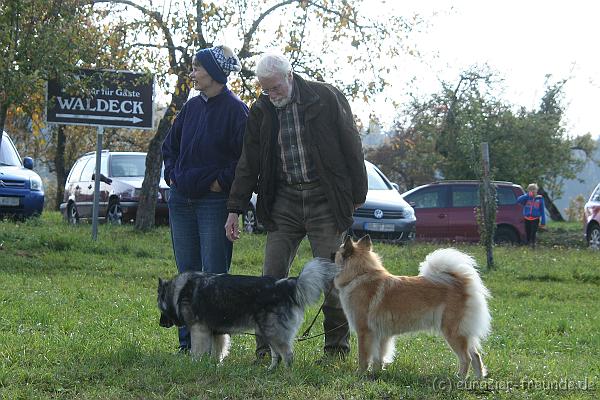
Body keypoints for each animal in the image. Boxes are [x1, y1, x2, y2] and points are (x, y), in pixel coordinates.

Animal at [157, 260, 338, 368]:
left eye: (160, 308)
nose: (160, 324)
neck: (179, 292)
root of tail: (285, 285)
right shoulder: (217, 332)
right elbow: (219, 350)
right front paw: (216, 364)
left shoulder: (198, 330)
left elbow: (197, 351)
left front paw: (194, 364)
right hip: (267, 331)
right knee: (276, 354)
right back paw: (270, 370)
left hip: (272, 331)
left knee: (287, 355)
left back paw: (286, 373)